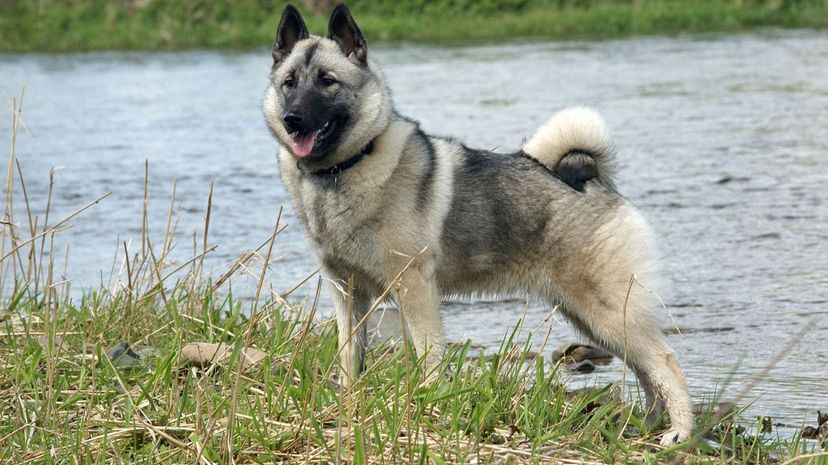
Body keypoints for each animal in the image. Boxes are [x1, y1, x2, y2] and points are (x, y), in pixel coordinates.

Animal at [264, 4, 692, 446]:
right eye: (289, 83)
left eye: (327, 81)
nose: (292, 119)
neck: (344, 169)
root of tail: (594, 179)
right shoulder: (347, 293)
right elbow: (350, 357)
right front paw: (348, 404)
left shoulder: (415, 288)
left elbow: (428, 355)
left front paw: (426, 404)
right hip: (591, 318)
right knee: (645, 370)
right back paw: (649, 425)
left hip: (606, 311)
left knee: (664, 360)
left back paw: (680, 432)